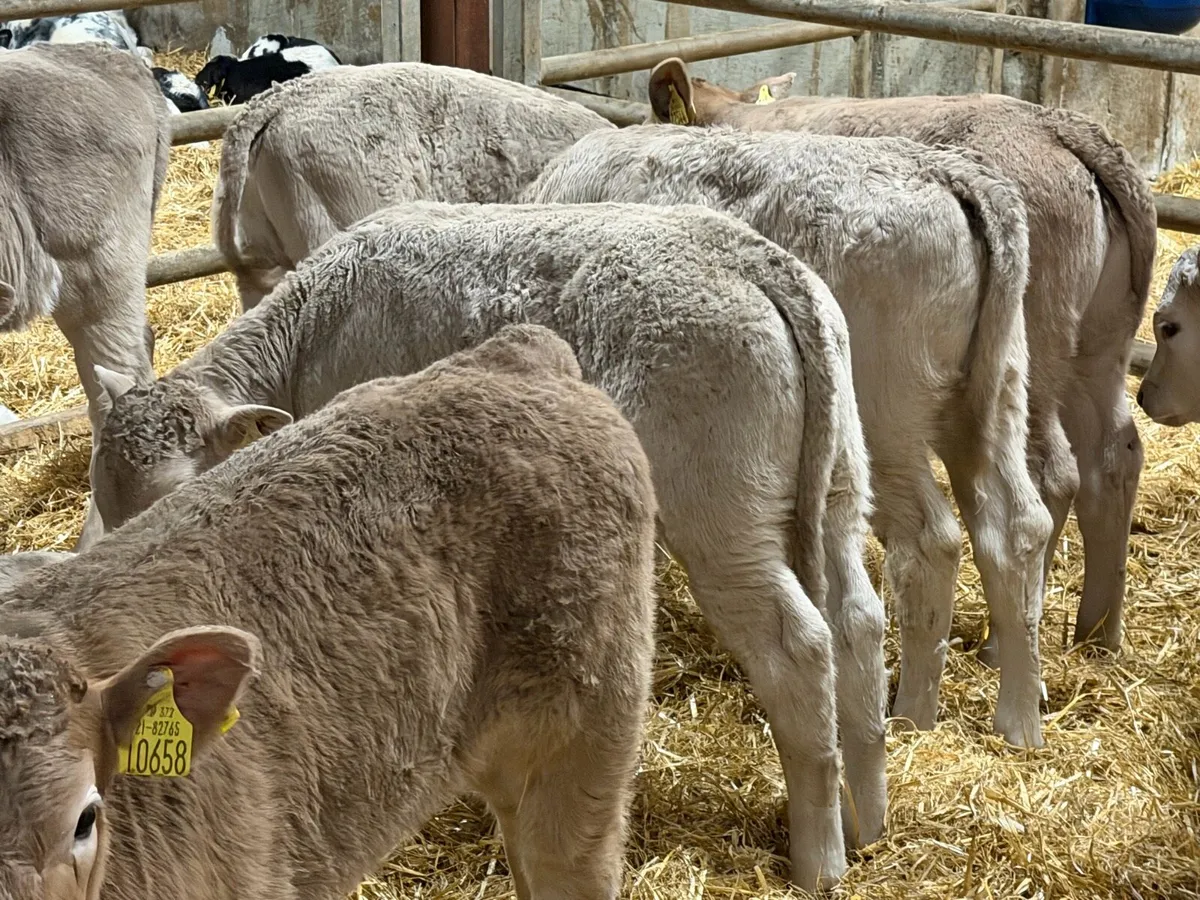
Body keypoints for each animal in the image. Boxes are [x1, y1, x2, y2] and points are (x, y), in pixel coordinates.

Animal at [83, 202, 881, 890]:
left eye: (175, 496)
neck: (314, 327)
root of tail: (756, 262)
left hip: (724, 512)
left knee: (799, 646)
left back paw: (819, 859)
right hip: (839, 476)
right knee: (858, 618)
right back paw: (867, 816)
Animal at [525, 124, 1053, 749]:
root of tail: (948, 171)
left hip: (886, 424)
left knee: (932, 543)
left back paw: (912, 714)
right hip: (995, 394)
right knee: (1016, 525)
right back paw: (1018, 718)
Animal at [643, 57, 1157, 662]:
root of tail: (1059, 125)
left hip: (1034, 357)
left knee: (1051, 474)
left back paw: (1001, 642)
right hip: (1100, 349)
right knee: (1114, 455)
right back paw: (1098, 633)